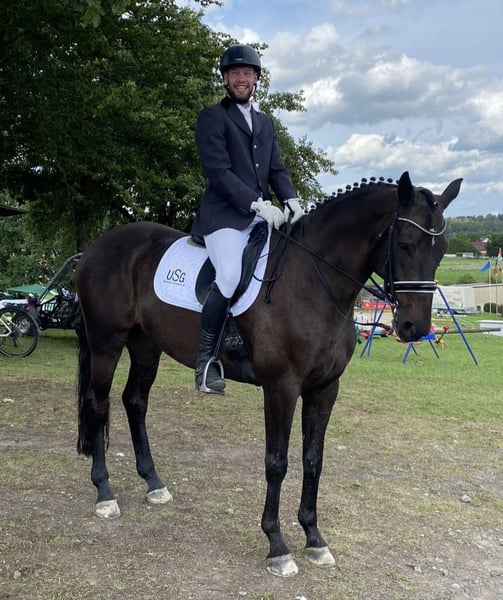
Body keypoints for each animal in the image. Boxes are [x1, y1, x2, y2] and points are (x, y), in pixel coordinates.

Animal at [75, 171, 461, 577]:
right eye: (404, 245)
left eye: (441, 248)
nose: (414, 328)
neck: (314, 281)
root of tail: (97, 247)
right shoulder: (281, 387)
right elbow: (277, 463)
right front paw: (277, 545)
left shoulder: (325, 389)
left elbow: (313, 460)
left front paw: (314, 538)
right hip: (106, 342)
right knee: (98, 405)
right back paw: (105, 493)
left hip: (146, 345)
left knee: (135, 401)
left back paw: (153, 483)